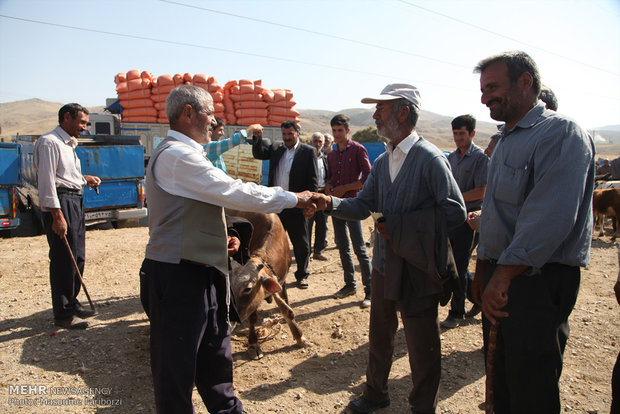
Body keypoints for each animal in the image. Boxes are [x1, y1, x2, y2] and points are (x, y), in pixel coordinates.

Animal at [226, 210, 306, 360]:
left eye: (248, 288)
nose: (229, 321)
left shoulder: (281, 281)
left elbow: (286, 308)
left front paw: (298, 336)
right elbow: (252, 317)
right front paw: (253, 344)